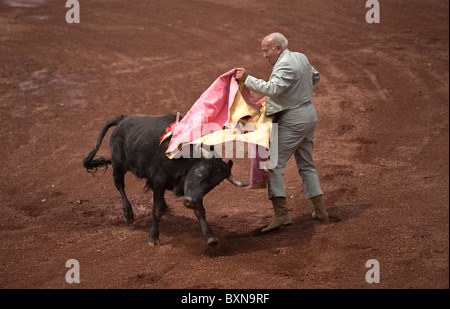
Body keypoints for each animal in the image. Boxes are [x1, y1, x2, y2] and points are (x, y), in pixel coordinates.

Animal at [82, 113, 248, 245]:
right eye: (200, 173)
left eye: (213, 185)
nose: (189, 202)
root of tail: (123, 118)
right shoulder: (159, 181)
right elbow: (155, 209)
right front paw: (153, 237)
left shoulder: (192, 192)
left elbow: (200, 211)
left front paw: (210, 237)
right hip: (118, 165)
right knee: (120, 185)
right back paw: (128, 214)